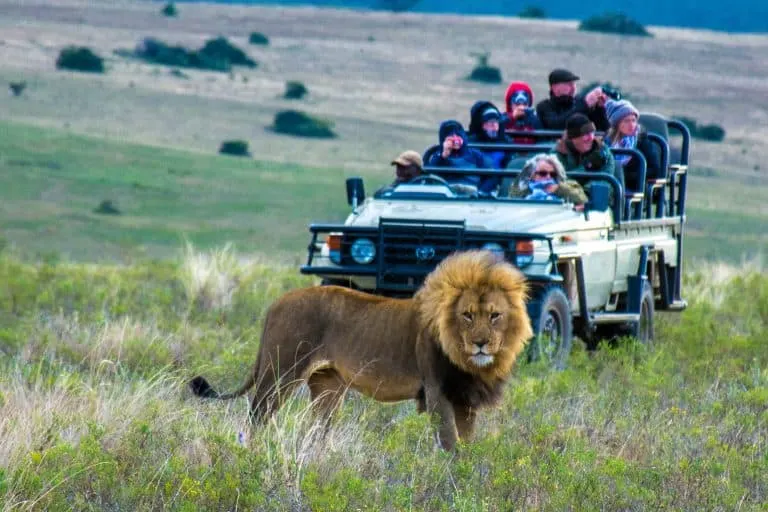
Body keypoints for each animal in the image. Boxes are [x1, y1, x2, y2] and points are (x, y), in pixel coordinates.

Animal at [189, 250, 532, 450]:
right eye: (467, 315)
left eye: (495, 315)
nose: (480, 343)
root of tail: (276, 303)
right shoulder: (438, 393)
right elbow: (451, 445)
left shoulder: (466, 398)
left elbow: (468, 444)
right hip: (280, 373)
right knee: (256, 418)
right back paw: (251, 454)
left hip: (327, 386)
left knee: (316, 431)